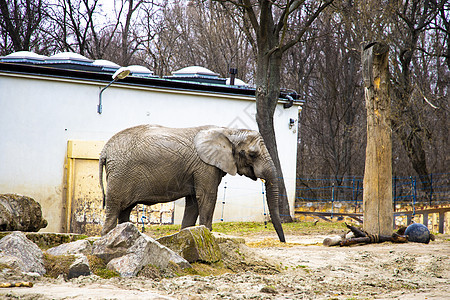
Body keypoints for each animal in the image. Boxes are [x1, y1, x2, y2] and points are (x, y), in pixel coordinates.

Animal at [100, 123, 286, 241]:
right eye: (252, 154)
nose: (282, 241)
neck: (229, 131)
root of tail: (104, 150)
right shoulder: (205, 166)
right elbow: (206, 197)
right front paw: (207, 235)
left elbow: (193, 202)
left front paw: (187, 236)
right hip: (120, 175)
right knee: (114, 209)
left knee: (124, 211)